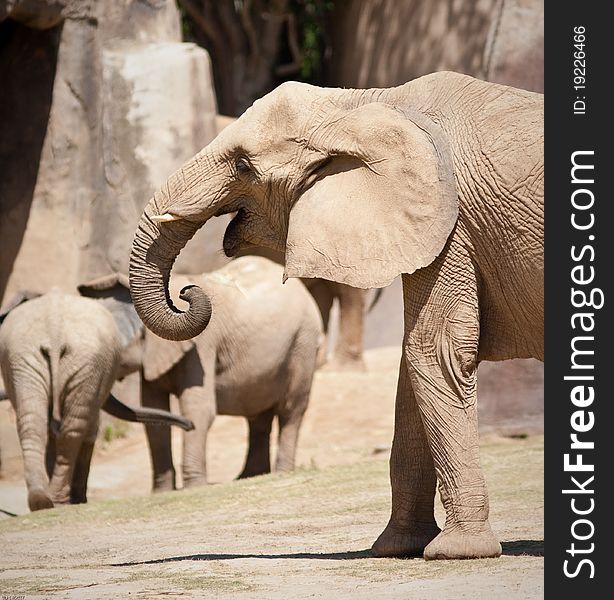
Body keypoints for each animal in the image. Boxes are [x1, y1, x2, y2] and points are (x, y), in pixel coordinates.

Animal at [140, 255, 322, 490]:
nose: (185, 292)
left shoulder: (202, 345)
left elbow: (198, 408)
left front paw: (193, 487)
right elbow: (152, 411)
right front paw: (162, 492)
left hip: (303, 342)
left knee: (291, 409)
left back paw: (281, 472)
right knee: (258, 415)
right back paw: (249, 476)